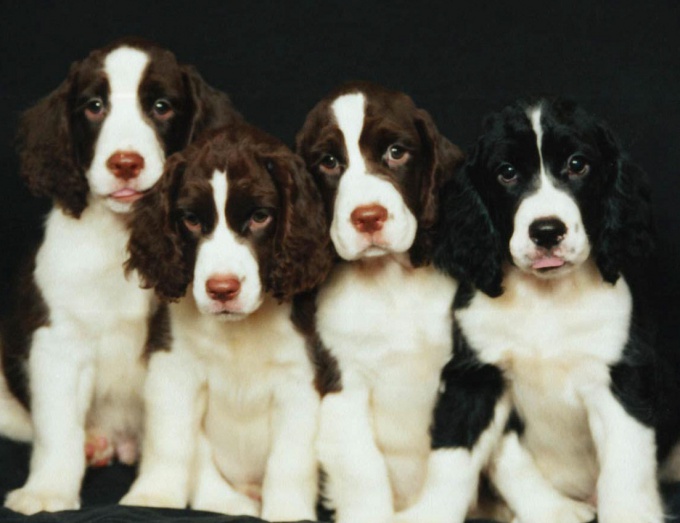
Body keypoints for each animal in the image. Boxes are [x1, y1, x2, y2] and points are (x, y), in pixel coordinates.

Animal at [0, 37, 242, 516]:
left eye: (162, 107)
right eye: (94, 106)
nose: (125, 163)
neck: (125, 238)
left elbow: (192, 439)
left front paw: (215, 498)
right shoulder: (59, 343)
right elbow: (57, 428)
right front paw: (48, 491)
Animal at [123, 122, 334, 520]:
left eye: (260, 216)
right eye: (191, 220)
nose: (222, 289)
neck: (239, 329)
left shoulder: (301, 379)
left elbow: (289, 460)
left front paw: (287, 512)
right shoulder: (173, 367)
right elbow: (170, 440)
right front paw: (153, 496)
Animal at [294, 82, 464, 523]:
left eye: (396, 152)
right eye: (329, 162)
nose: (368, 217)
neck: (391, 283)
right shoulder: (343, 386)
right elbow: (362, 471)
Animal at [432, 99, 672, 523]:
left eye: (578, 165)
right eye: (506, 172)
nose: (546, 232)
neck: (545, 300)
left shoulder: (621, 378)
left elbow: (625, 471)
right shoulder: (475, 376)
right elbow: (456, 458)